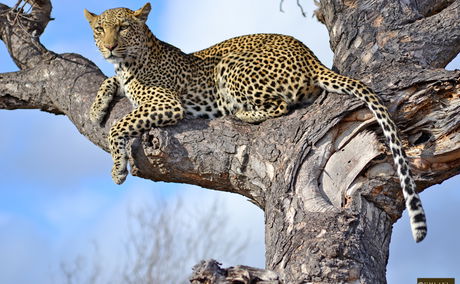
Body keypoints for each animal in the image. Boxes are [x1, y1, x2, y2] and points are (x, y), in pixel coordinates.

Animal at [83, 2, 428, 242]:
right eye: (99, 29)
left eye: (124, 27)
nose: (108, 46)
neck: (128, 62)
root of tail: (310, 56)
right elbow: (110, 84)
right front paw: (96, 110)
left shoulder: (167, 103)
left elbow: (120, 125)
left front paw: (117, 169)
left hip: (230, 65)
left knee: (281, 105)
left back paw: (239, 112)